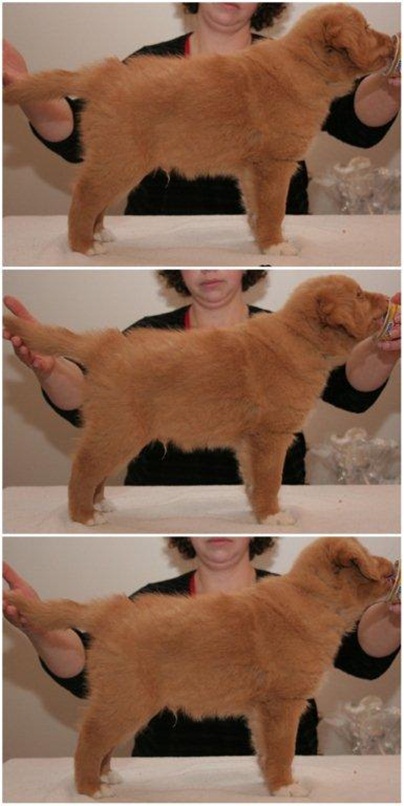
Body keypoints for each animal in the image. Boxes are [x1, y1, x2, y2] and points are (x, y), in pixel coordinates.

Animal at [3, 274, 388, 526]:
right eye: (358, 294)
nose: (387, 299)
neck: (301, 337)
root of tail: (105, 345)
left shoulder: (250, 441)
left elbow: (253, 478)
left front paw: (255, 509)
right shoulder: (270, 437)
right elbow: (270, 480)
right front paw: (271, 516)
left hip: (115, 430)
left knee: (94, 467)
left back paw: (100, 506)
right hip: (121, 428)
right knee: (84, 466)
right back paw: (84, 516)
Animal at [4, 4, 394, 256]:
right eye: (366, 28)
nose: (393, 40)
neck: (305, 64)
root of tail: (103, 75)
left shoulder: (253, 169)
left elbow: (256, 206)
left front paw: (258, 237)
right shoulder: (275, 165)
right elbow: (274, 209)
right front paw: (275, 245)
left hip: (115, 158)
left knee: (95, 196)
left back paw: (100, 236)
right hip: (121, 157)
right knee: (85, 194)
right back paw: (83, 246)